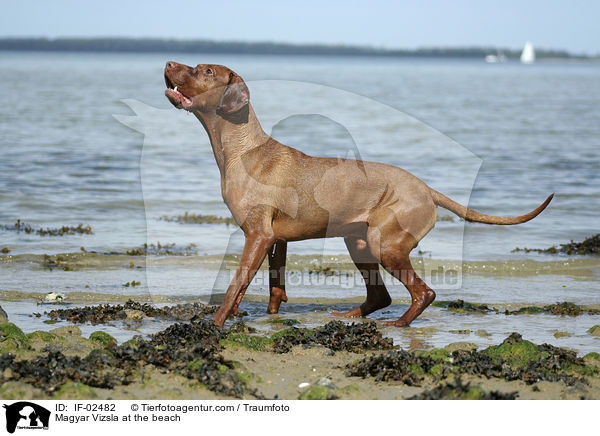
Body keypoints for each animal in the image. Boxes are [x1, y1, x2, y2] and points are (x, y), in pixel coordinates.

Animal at [163, 61, 552, 328]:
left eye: (206, 70)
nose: (167, 64)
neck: (243, 149)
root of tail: (426, 188)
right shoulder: (275, 239)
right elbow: (271, 288)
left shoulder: (258, 235)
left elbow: (235, 284)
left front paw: (215, 324)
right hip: (359, 243)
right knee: (380, 294)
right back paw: (352, 314)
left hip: (386, 244)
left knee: (423, 292)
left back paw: (399, 324)